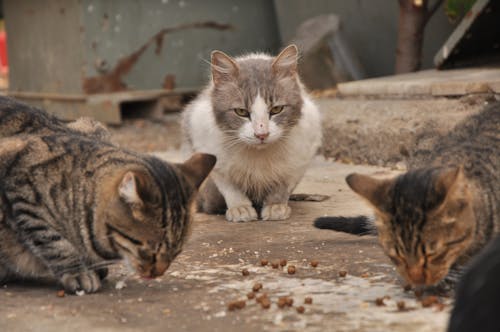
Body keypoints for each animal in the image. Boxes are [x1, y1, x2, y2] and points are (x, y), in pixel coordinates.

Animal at [0, 98, 215, 294]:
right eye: (148, 251)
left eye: (177, 252)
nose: (158, 273)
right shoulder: (18, 176)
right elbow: (52, 239)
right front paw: (78, 272)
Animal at [183, 43, 320, 220]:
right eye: (241, 112)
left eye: (277, 109)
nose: (262, 134)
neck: (258, 155)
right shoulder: (208, 147)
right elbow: (230, 188)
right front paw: (240, 208)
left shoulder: (301, 157)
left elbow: (282, 185)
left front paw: (275, 206)